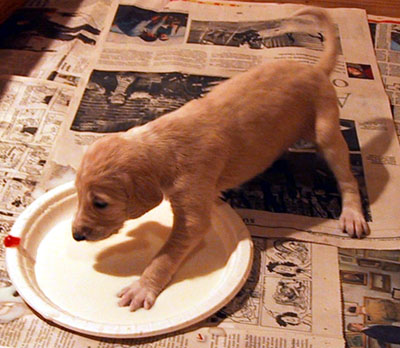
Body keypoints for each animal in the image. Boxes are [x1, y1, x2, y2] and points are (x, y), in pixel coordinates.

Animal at [72, 8, 368, 312]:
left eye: (101, 203)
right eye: (77, 194)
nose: (76, 236)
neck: (161, 143)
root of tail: (316, 69)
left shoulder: (192, 205)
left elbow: (168, 252)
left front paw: (142, 286)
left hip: (328, 131)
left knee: (348, 178)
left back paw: (353, 215)